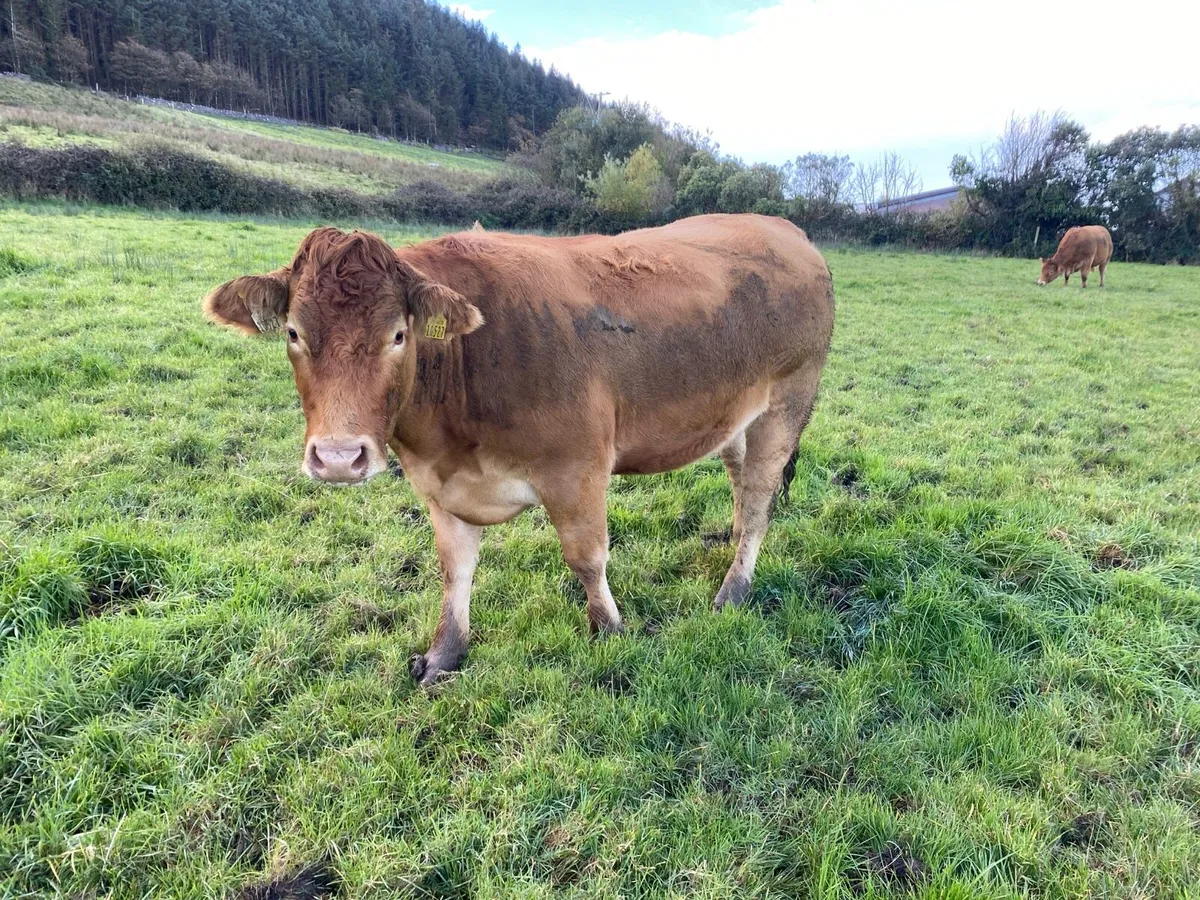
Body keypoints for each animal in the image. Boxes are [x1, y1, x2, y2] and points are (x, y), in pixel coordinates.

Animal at [203, 214, 836, 686]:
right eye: (293, 333)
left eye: (398, 335)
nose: (339, 457)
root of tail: (784, 228)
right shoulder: (440, 485)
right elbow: (454, 569)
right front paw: (444, 654)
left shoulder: (578, 469)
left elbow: (587, 558)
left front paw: (610, 632)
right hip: (734, 417)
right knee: (741, 492)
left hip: (786, 403)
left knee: (757, 504)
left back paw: (733, 591)